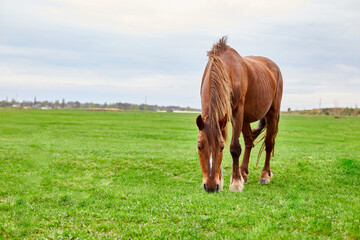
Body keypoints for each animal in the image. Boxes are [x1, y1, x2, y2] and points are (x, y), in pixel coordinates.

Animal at [195, 36, 282, 192]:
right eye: (199, 147)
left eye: (222, 147)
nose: (210, 187)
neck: (225, 69)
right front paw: (225, 180)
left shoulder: (237, 112)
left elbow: (235, 148)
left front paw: (235, 182)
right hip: (246, 119)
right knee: (249, 141)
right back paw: (243, 173)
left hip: (272, 113)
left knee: (269, 143)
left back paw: (264, 175)